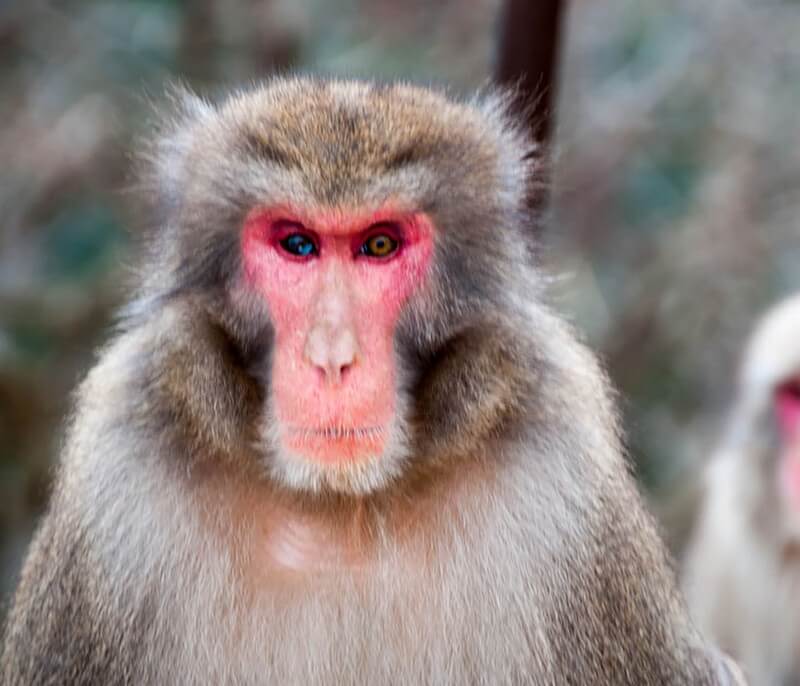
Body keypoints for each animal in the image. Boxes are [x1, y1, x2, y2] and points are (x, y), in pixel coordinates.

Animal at [1, 76, 743, 685]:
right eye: (297, 243)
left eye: (378, 245)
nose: (332, 358)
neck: (343, 508)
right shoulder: (117, 483)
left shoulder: (570, 488)